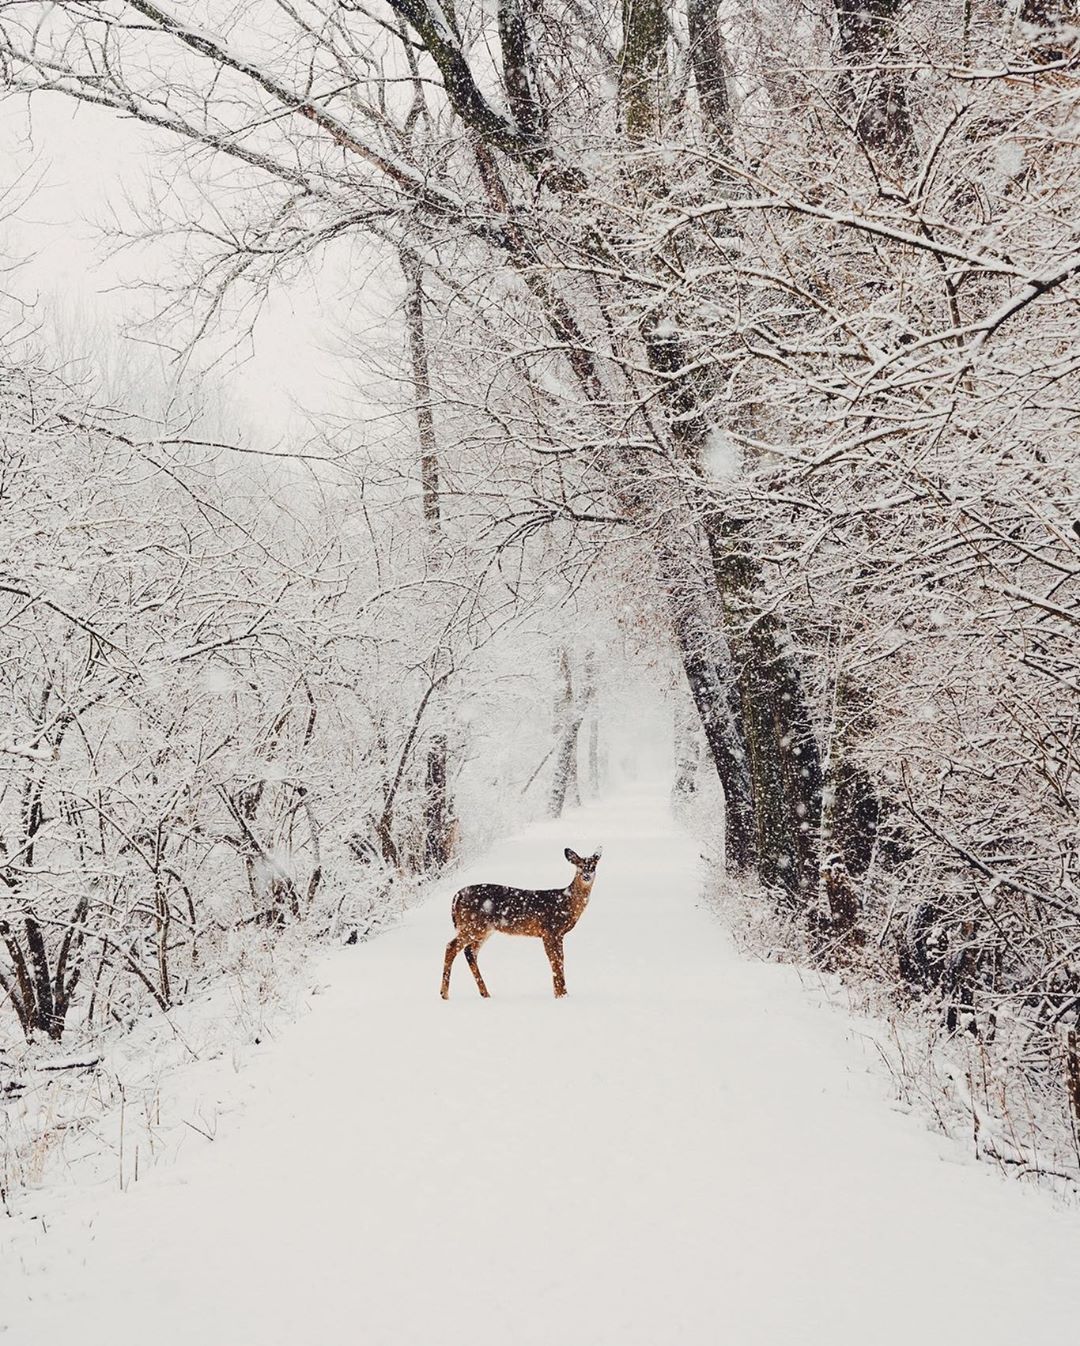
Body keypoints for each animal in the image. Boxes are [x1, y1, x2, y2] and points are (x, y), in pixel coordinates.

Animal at [441, 850, 600, 1001]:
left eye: (593, 866)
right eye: (579, 865)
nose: (586, 876)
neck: (567, 903)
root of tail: (456, 897)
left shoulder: (558, 934)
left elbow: (560, 960)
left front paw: (563, 994)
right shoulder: (549, 930)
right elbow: (555, 961)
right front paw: (561, 995)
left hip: (483, 930)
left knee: (469, 951)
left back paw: (485, 993)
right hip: (474, 925)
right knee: (451, 946)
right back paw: (444, 994)